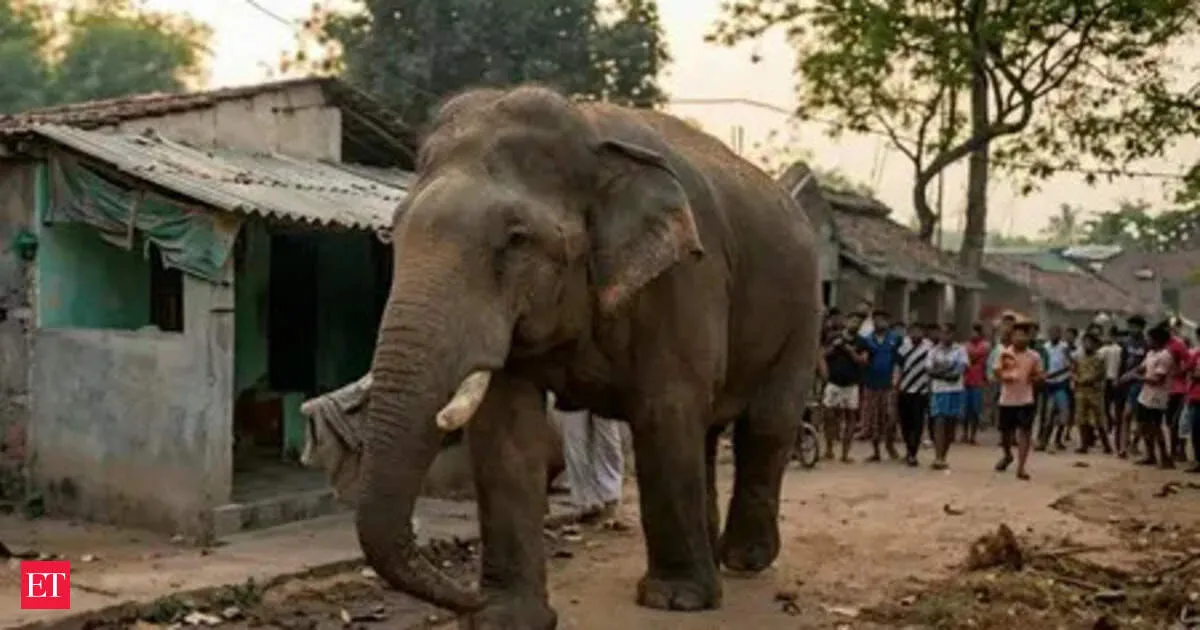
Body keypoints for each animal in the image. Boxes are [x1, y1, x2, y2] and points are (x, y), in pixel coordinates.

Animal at [358, 84, 821, 629]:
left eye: (516, 239)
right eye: (395, 231)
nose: (466, 596)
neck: (589, 131)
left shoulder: (685, 278)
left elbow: (665, 411)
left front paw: (675, 601)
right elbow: (504, 431)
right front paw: (505, 617)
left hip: (802, 312)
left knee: (766, 425)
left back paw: (743, 562)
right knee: (708, 433)